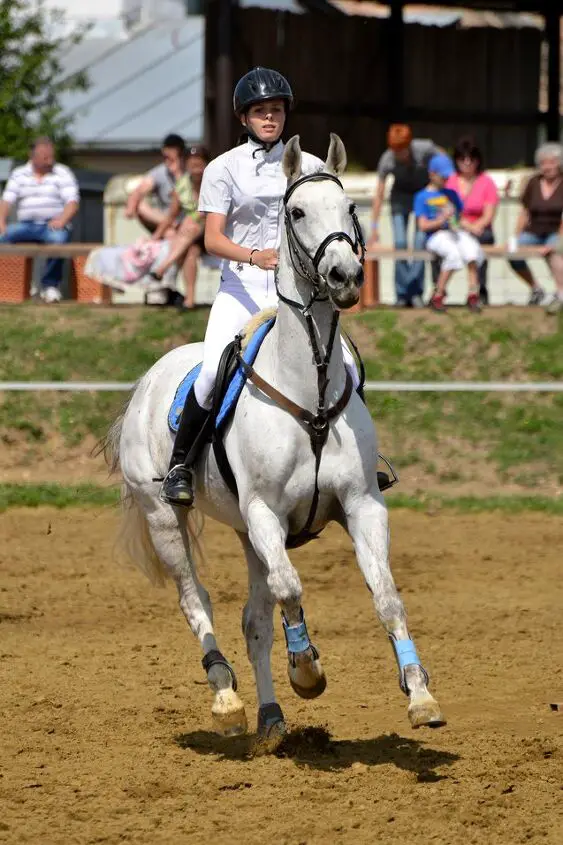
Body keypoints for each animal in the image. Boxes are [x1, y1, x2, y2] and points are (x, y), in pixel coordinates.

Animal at [104, 134, 446, 744]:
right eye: (298, 211)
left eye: (351, 208)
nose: (345, 276)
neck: (308, 392)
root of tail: (146, 382)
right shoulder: (264, 512)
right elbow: (291, 588)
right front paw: (307, 670)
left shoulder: (361, 505)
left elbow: (386, 598)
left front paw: (419, 694)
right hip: (165, 517)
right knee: (197, 601)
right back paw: (227, 697)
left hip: (246, 534)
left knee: (254, 621)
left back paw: (270, 716)